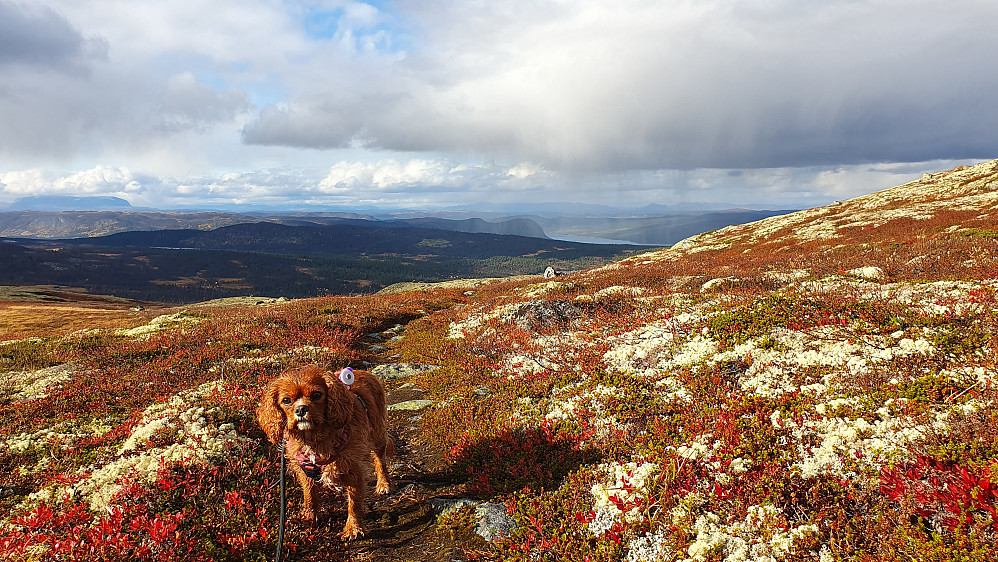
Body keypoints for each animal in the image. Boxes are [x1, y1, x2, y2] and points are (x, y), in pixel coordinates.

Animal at [258, 364, 394, 540]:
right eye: (286, 400)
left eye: (317, 395)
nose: (301, 409)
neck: (314, 440)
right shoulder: (305, 470)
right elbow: (309, 494)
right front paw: (310, 517)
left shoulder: (353, 469)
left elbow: (354, 502)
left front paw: (353, 528)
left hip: (378, 436)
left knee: (380, 460)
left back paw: (384, 484)